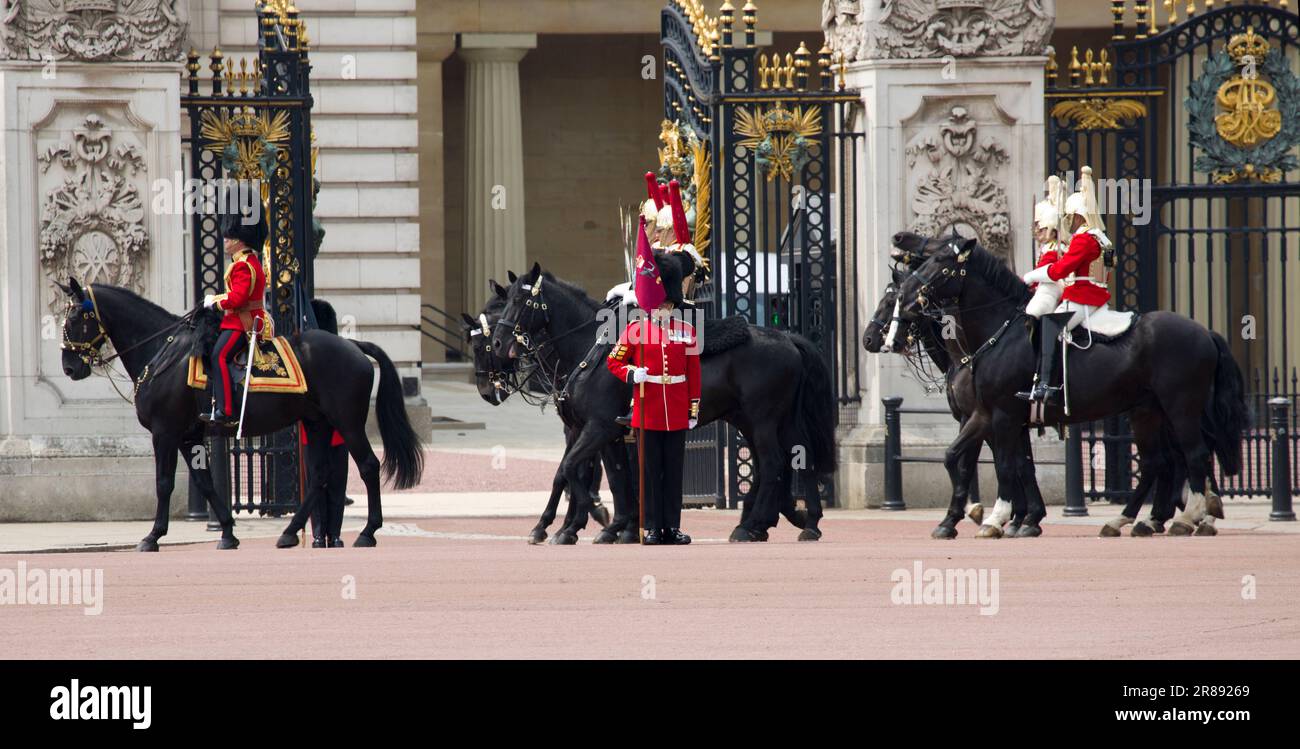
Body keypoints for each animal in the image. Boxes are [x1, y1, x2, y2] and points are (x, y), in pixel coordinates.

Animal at [57, 280, 421, 551]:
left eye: (73, 319)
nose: (69, 367)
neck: (163, 351)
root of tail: (354, 345)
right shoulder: (188, 435)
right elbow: (203, 483)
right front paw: (228, 533)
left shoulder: (165, 432)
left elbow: (163, 483)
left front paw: (152, 536)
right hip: (317, 422)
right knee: (319, 474)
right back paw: (291, 533)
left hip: (346, 422)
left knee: (368, 466)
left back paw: (367, 532)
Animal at [486, 262, 832, 543]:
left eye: (519, 302)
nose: (500, 344)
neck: (586, 350)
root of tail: (787, 337)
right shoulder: (591, 431)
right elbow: (591, 474)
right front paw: (578, 526)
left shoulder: (599, 428)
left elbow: (576, 469)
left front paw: (585, 521)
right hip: (766, 420)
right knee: (799, 456)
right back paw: (804, 522)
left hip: (762, 420)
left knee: (773, 463)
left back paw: (752, 526)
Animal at [894, 236, 1248, 535]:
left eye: (941, 264)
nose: (907, 300)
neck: (996, 334)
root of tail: (1205, 331)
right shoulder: (986, 414)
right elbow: (956, 456)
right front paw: (966, 518)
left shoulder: (1004, 415)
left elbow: (1005, 465)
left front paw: (996, 518)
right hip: (1147, 411)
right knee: (1156, 462)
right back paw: (1132, 520)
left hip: (1180, 407)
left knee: (1195, 455)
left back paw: (1188, 517)